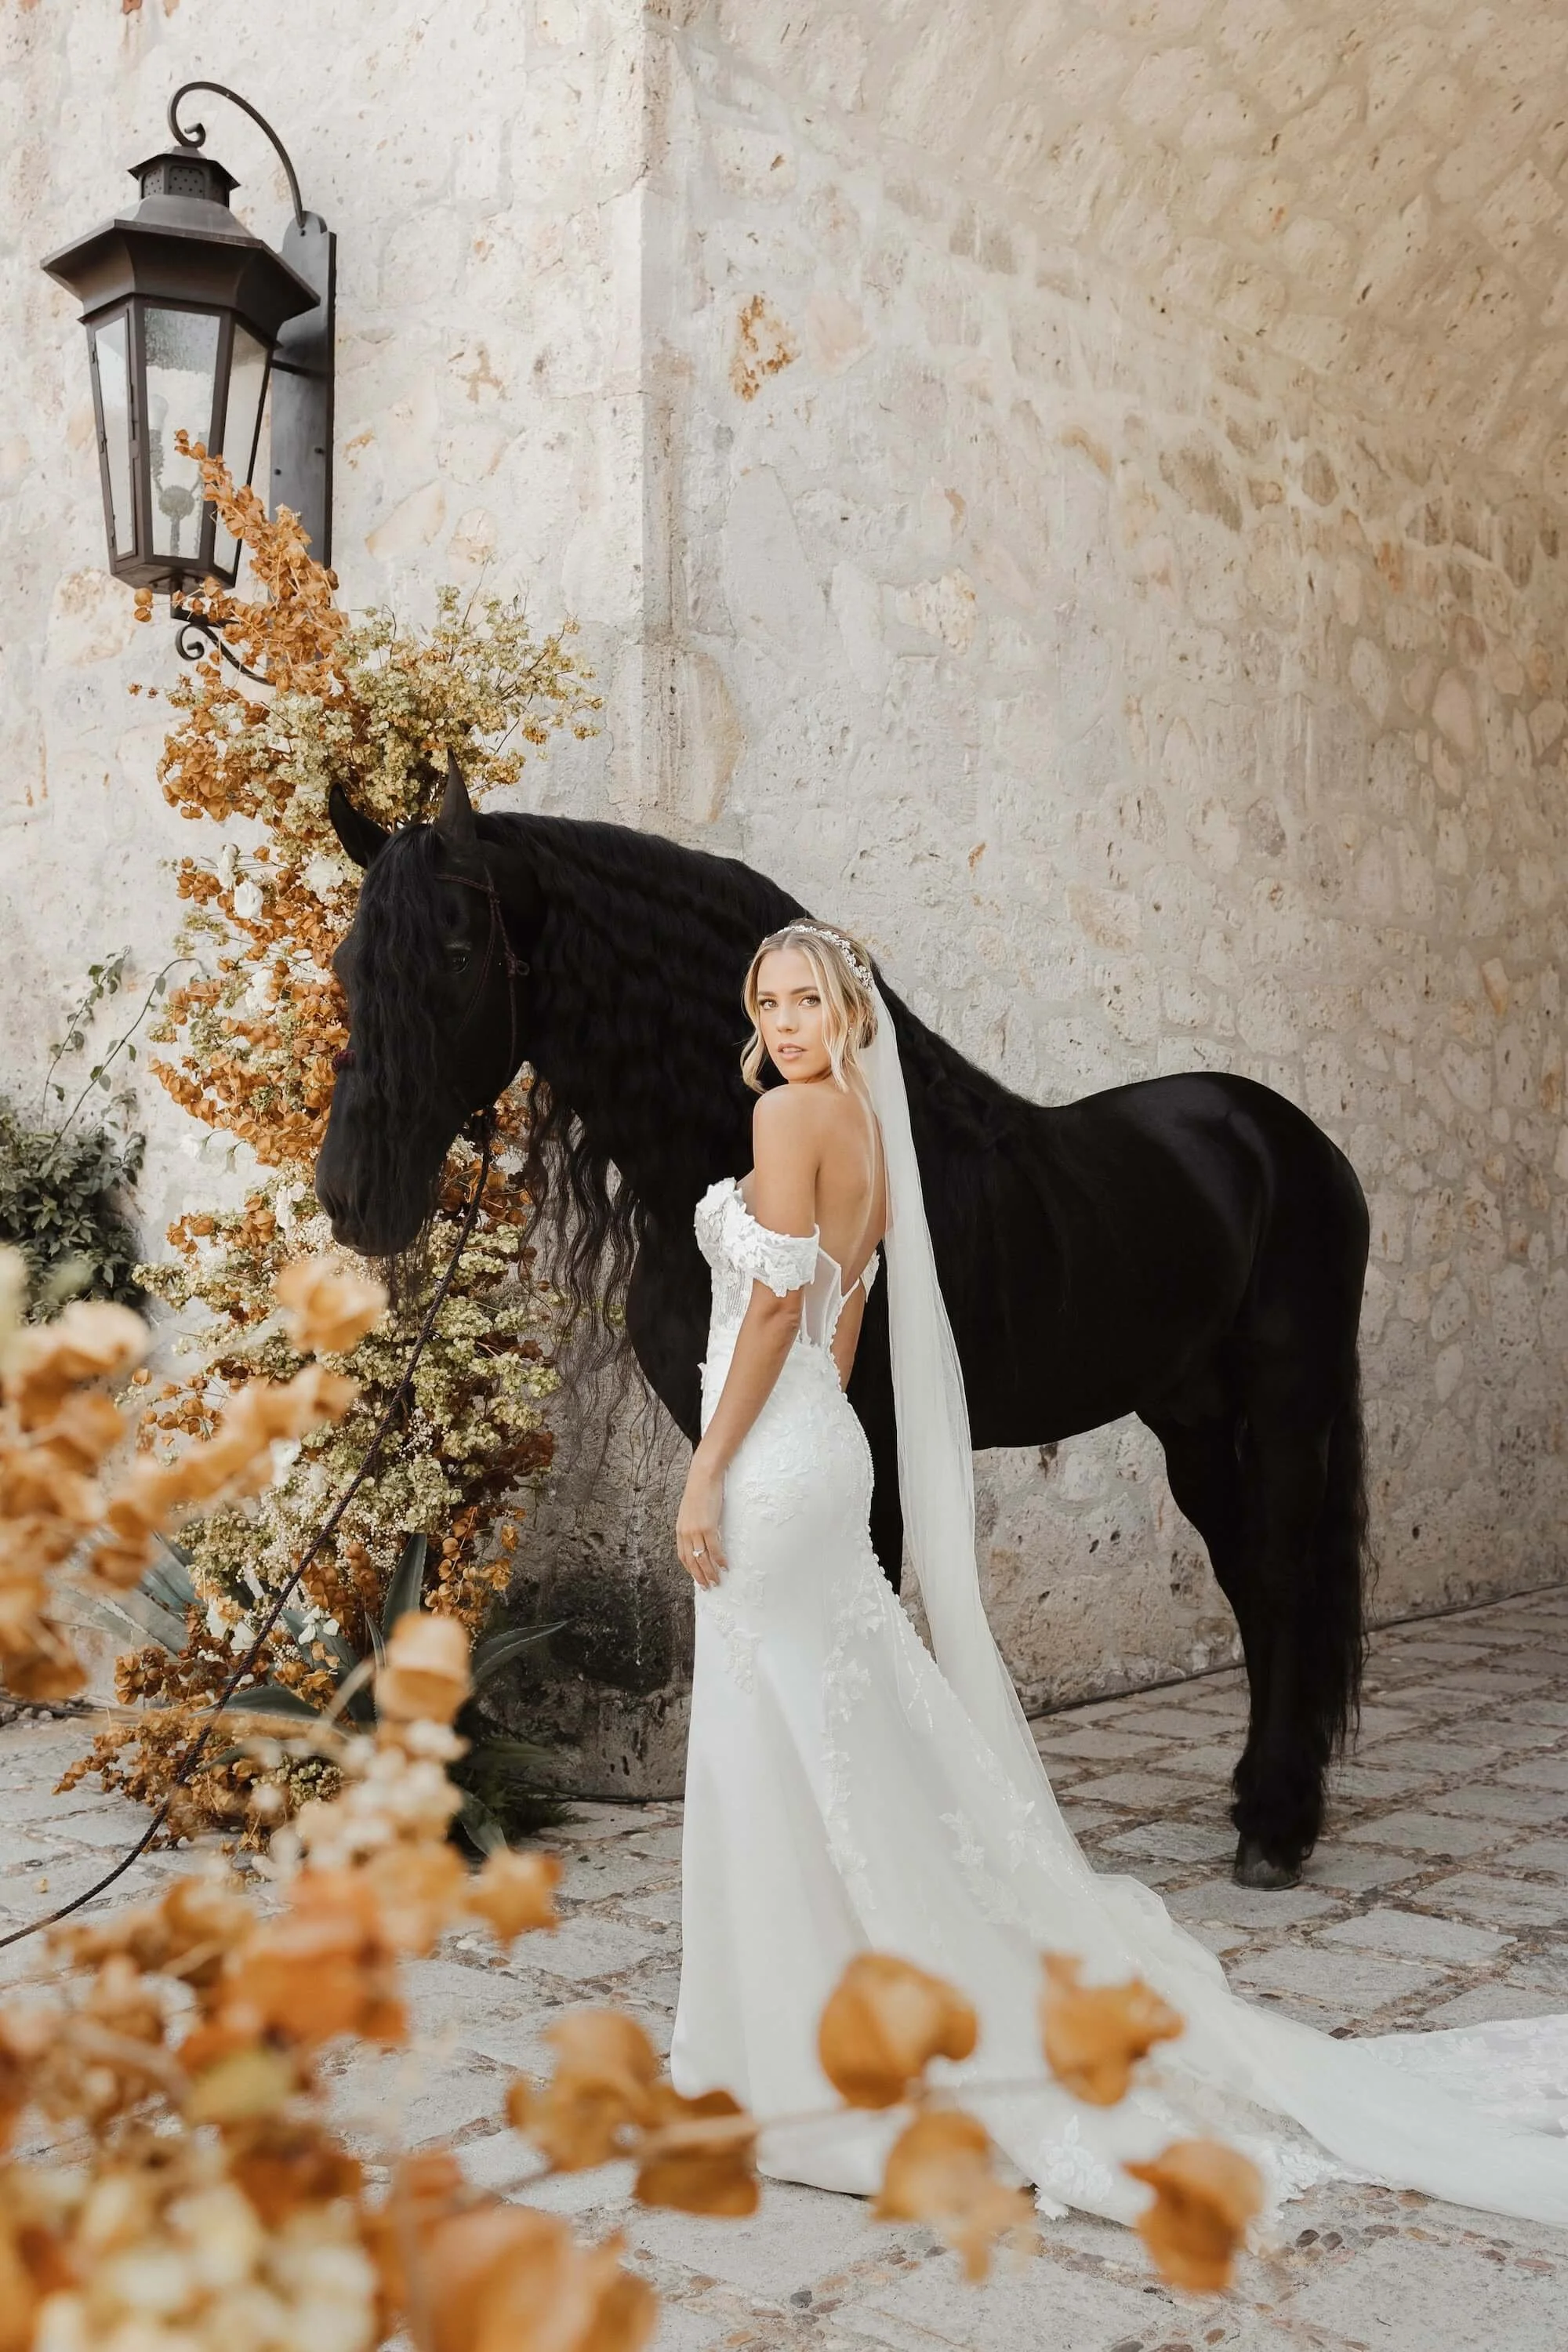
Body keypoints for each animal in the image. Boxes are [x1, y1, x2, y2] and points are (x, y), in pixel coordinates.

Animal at [316, 761, 1372, 1891]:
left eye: (458, 951)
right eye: (347, 960)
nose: (352, 1193)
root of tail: (1287, 1137)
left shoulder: (870, 1456)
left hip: (1288, 1402)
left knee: (1279, 1575)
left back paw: (1275, 1827)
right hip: (1190, 1416)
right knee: (1246, 1574)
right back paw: (1255, 1801)